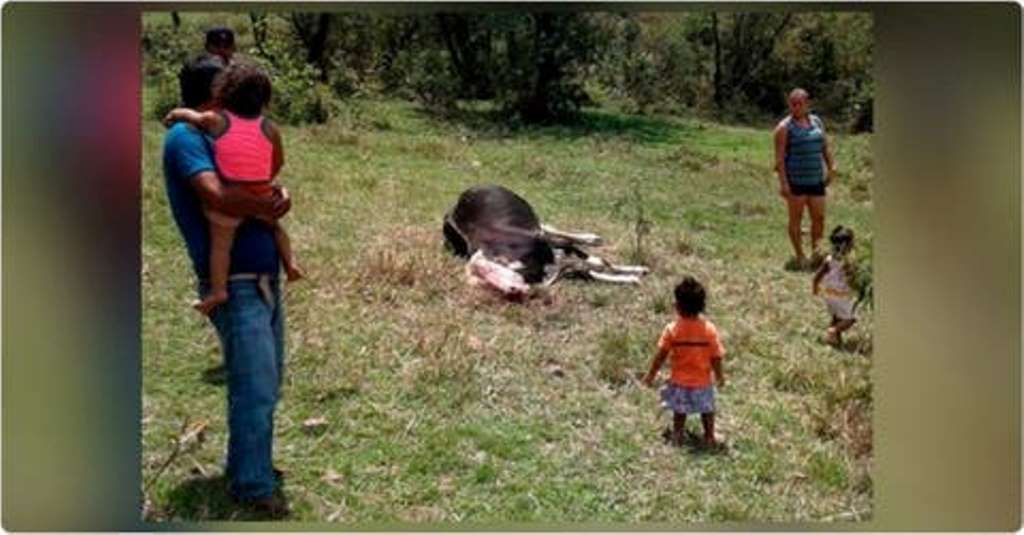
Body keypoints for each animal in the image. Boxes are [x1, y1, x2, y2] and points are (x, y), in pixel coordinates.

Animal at [440, 184, 647, 297]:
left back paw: (592, 238)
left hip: (539, 229)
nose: (513, 288)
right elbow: (591, 271)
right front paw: (633, 277)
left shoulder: (548, 243)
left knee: (551, 229)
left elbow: (601, 262)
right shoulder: (563, 266)